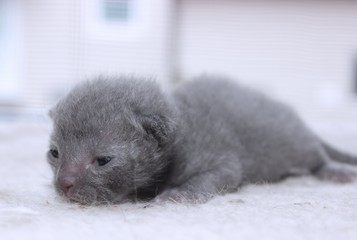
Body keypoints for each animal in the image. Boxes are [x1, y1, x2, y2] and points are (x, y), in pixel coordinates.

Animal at [48, 75, 356, 204]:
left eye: (103, 160)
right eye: (54, 153)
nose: (63, 184)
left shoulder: (219, 155)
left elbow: (217, 176)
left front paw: (180, 194)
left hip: (295, 144)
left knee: (317, 156)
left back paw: (334, 171)